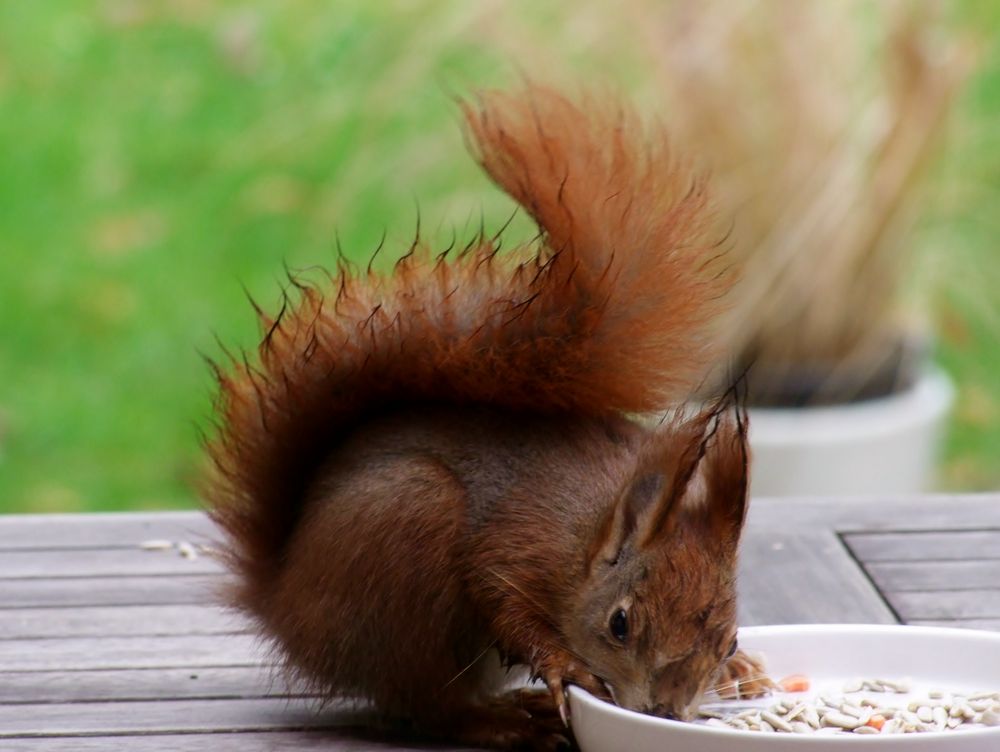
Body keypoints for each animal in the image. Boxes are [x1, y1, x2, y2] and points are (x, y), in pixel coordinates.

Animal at [203, 85, 764, 748]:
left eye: (726, 637)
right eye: (620, 624)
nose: (664, 713)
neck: (590, 529)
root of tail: (281, 602)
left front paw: (744, 671)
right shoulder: (515, 542)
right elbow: (506, 605)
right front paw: (563, 664)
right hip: (406, 538)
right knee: (426, 702)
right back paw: (502, 720)